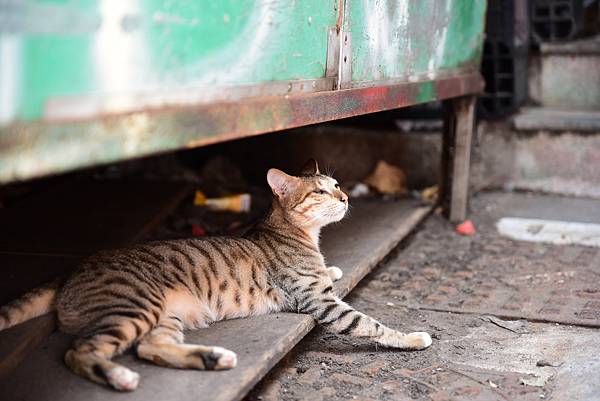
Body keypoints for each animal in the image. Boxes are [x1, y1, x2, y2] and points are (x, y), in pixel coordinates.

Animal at [0, 160, 432, 390]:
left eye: (338, 185)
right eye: (320, 193)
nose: (344, 197)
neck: (301, 235)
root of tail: (72, 270)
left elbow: (331, 275)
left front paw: (333, 266)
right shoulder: (317, 300)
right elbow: (367, 324)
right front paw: (410, 337)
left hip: (165, 315)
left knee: (150, 347)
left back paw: (212, 357)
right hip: (134, 307)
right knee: (81, 351)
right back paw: (120, 376)